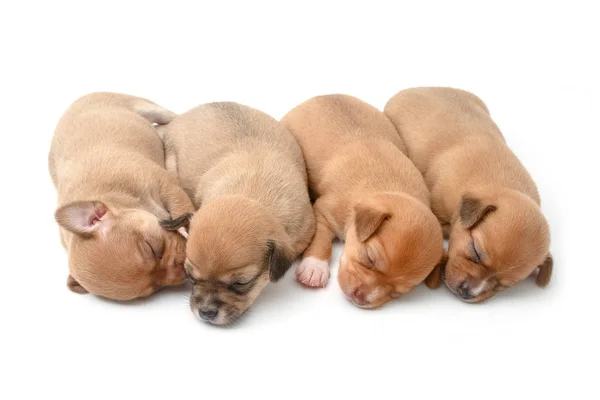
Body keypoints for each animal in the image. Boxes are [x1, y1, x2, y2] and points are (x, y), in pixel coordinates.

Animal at [49, 93, 195, 300]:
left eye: (152, 247)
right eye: (156, 288)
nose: (182, 269)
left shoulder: (167, 186)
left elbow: (184, 210)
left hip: (150, 108)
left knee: (172, 118)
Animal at [278, 95, 442, 308]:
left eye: (398, 293)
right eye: (369, 259)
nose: (362, 297)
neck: (387, 186)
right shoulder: (322, 214)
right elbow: (322, 241)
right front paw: (314, 269)